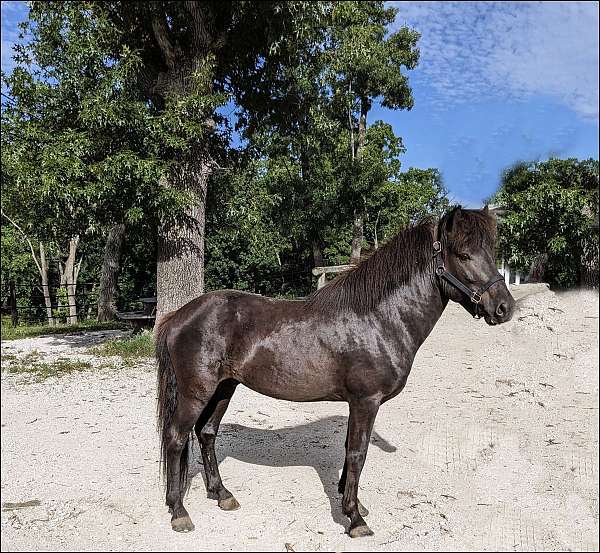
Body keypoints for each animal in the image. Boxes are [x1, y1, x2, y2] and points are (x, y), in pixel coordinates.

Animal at [152, 206, 512, 536]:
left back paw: (221, 494)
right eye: (463, 255)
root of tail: (178, 315)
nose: (504, 308)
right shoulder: (366, 401)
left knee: (206, 434)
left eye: (490, 252)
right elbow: (357, 453)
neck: (378, 320)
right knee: (176, 437)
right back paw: (179, 512)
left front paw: (353, 504)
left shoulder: (358, 403)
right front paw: (355, 519)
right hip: (196, 392)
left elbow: (350, 451)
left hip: (224, 388)